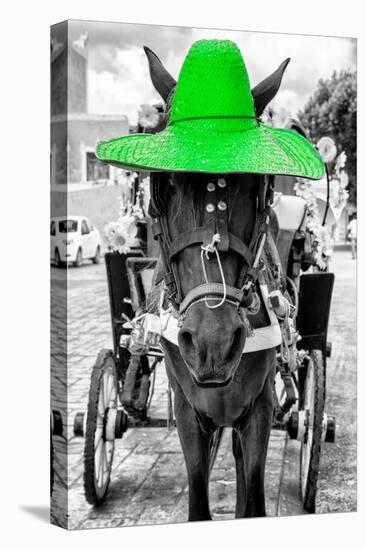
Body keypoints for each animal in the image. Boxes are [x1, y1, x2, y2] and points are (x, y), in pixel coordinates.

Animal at [142, 46, 290, 520]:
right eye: (163, 184)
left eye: (257, 186)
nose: (213, 342)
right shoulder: (189, 412)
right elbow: (198, 498)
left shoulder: (260, 408)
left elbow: (253, 498)